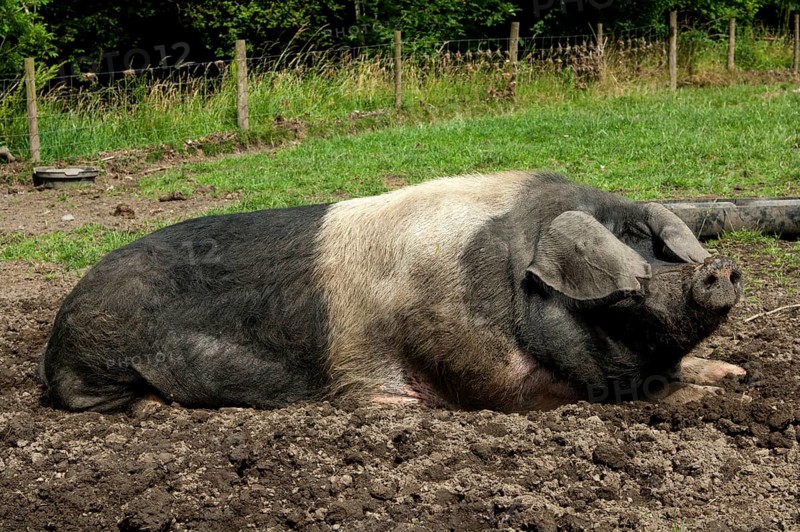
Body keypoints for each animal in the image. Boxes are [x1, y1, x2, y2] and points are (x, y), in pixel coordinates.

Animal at [38, 171, 745, 413]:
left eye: (659, 245)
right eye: (625, 291)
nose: (719, 270)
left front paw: (733, 375)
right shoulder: (476, 369)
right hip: (103, 358)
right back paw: (154, 410)